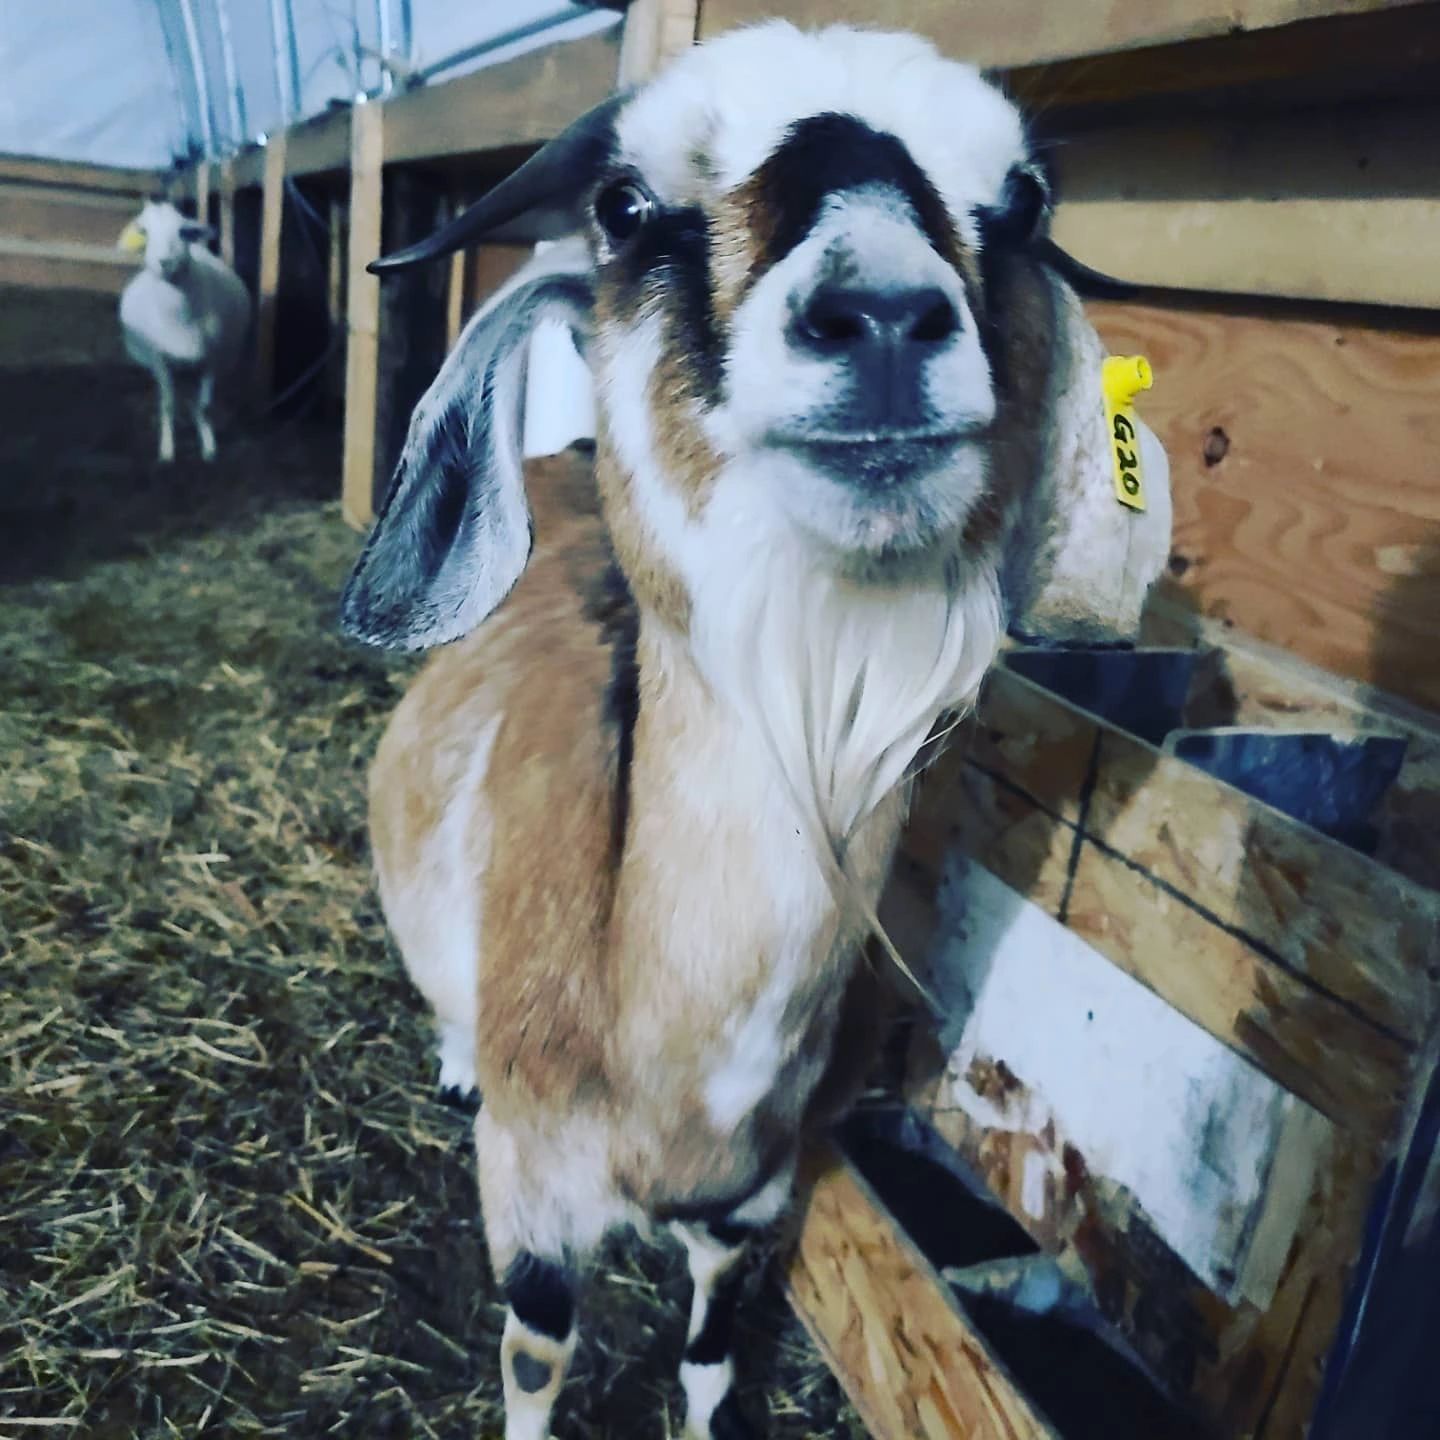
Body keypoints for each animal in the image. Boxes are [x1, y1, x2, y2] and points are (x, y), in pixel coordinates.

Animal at [118, 200, 251, 463]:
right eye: (144, 232)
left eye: (182, 232)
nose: (164, 261)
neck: (179, 317)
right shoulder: (160, 360)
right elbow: (168, 404)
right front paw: (167, 450)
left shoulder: (211, 361)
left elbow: (204, 406)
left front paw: (209, 447)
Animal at [339, 23, 1173, 1440]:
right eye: (623, 208)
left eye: (1023, 204)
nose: (880, 315)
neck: (673, 1074)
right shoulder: (530, 1202)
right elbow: (535, 1361)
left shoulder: (753, 1214)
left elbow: (713, 1365)